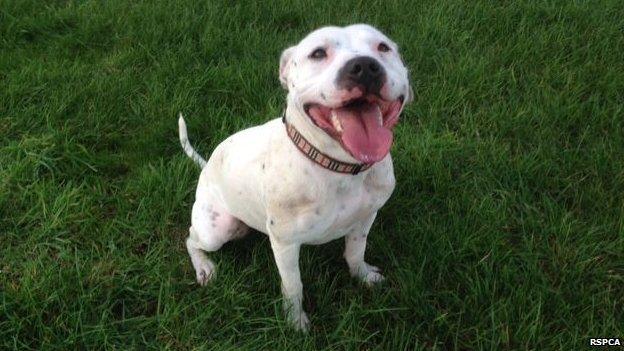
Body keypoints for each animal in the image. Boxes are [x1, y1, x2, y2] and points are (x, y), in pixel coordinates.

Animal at [178, 23, 412, 332]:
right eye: (318, 53)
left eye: (383, 48)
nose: (364, 67)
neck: (339, 167)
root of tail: (205, 169)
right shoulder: (285, 244)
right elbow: (293, 285)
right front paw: (294, 321)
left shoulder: (365, 218)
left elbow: (355, 251)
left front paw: (363, 276)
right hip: (218, 229)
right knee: (191, 240)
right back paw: (204, 266)